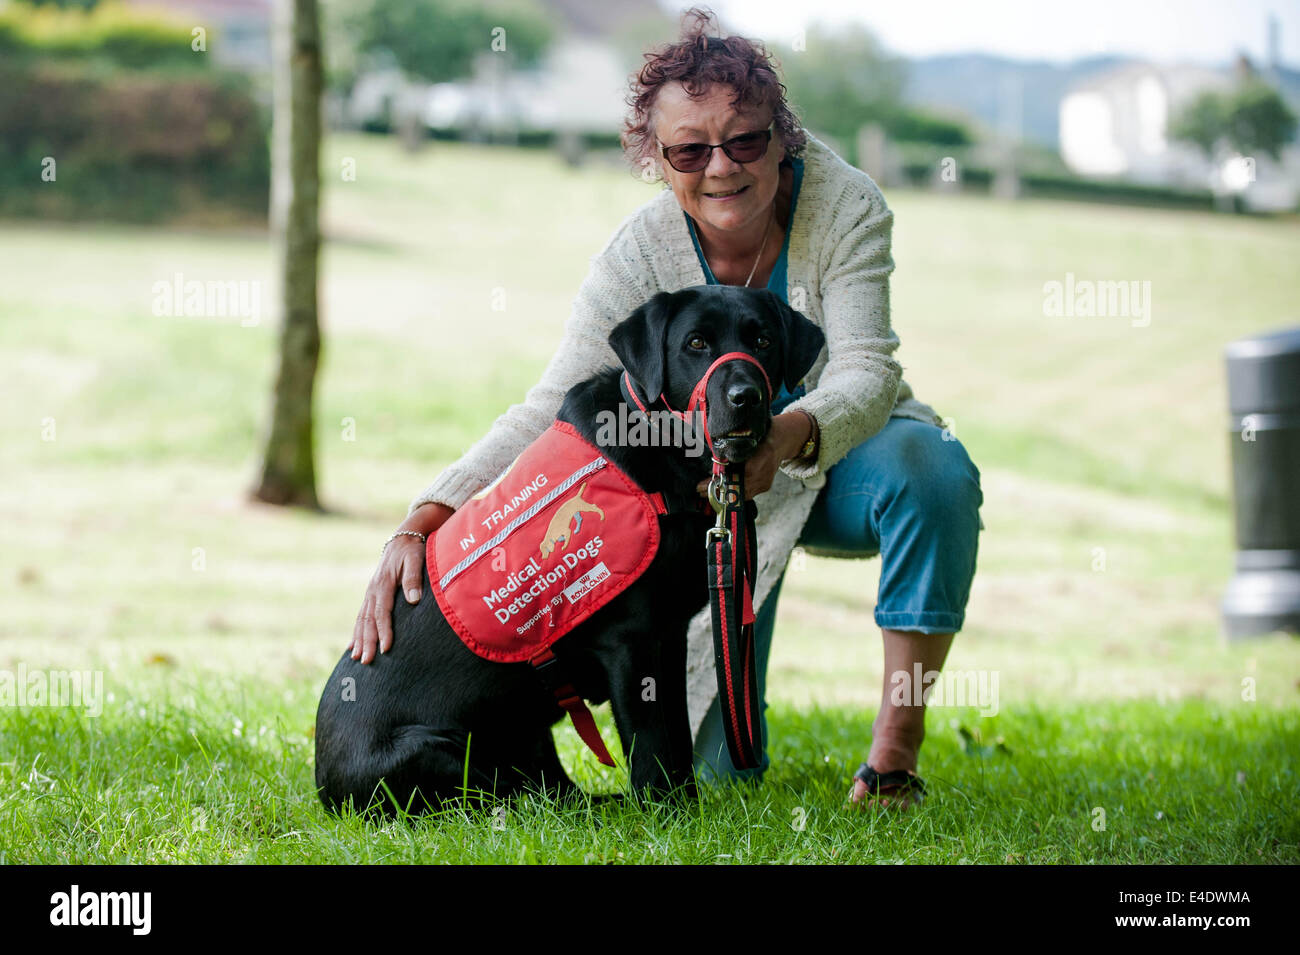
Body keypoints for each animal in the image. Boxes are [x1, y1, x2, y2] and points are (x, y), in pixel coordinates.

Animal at [313, 283, 821, 815]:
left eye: (763, 341)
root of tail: (322, 783)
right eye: (696, 343)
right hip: (438, 752)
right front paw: (667, 815)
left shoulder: (669, 635)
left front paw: (688, 809)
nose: (746, 396)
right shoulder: (632, 643)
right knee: (515, 799)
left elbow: (677, 743)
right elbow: (653, 749)